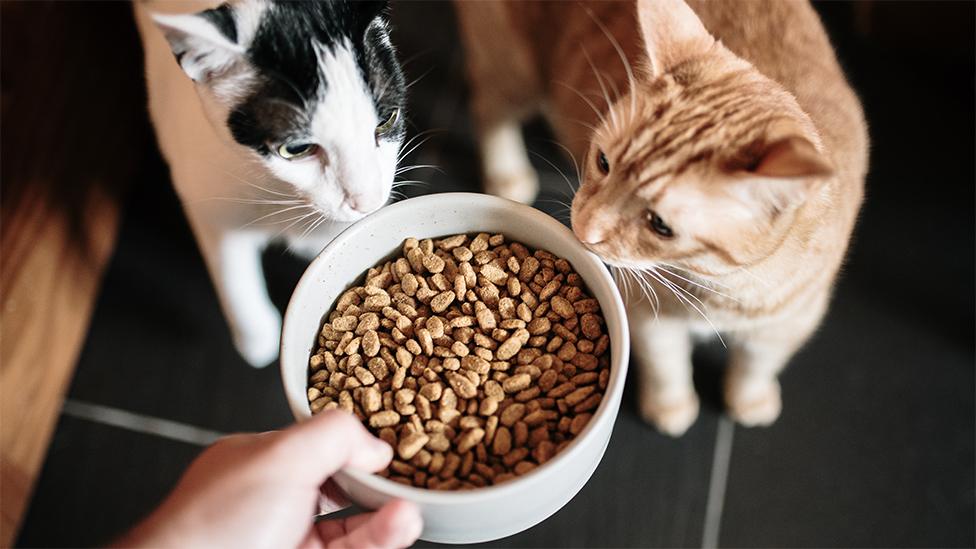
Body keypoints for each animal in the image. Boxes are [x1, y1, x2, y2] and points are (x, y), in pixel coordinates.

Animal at [133, 1, 404, 368]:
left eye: (387, 120)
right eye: (295, 150)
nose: (368, 201)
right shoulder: (206, 195)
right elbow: (232, 272)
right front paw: (257, 338)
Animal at [458, 2, 868, 434]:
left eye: (660, 225)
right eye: (603, 162)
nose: (583, 229)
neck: (719, 287)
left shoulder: (791, 321)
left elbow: (757, 366)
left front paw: (750, 400)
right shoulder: (645, 312)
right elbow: (665, 365)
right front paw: (671, 409)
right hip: (513, 66)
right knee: (488, 104)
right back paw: (507, 175)